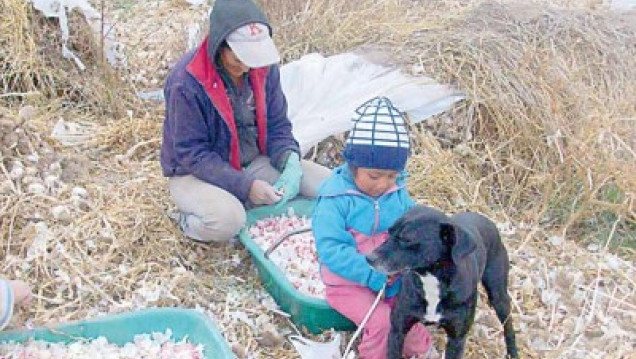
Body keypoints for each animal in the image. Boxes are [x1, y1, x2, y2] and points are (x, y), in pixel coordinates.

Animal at [366, 207, 520, 358]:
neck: (431, 279)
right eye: (389, 231)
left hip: (498, 295)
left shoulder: (457, 339)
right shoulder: (397, 331)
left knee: (508, 326)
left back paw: (513, 352)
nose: (369, 258)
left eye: (406, 239)